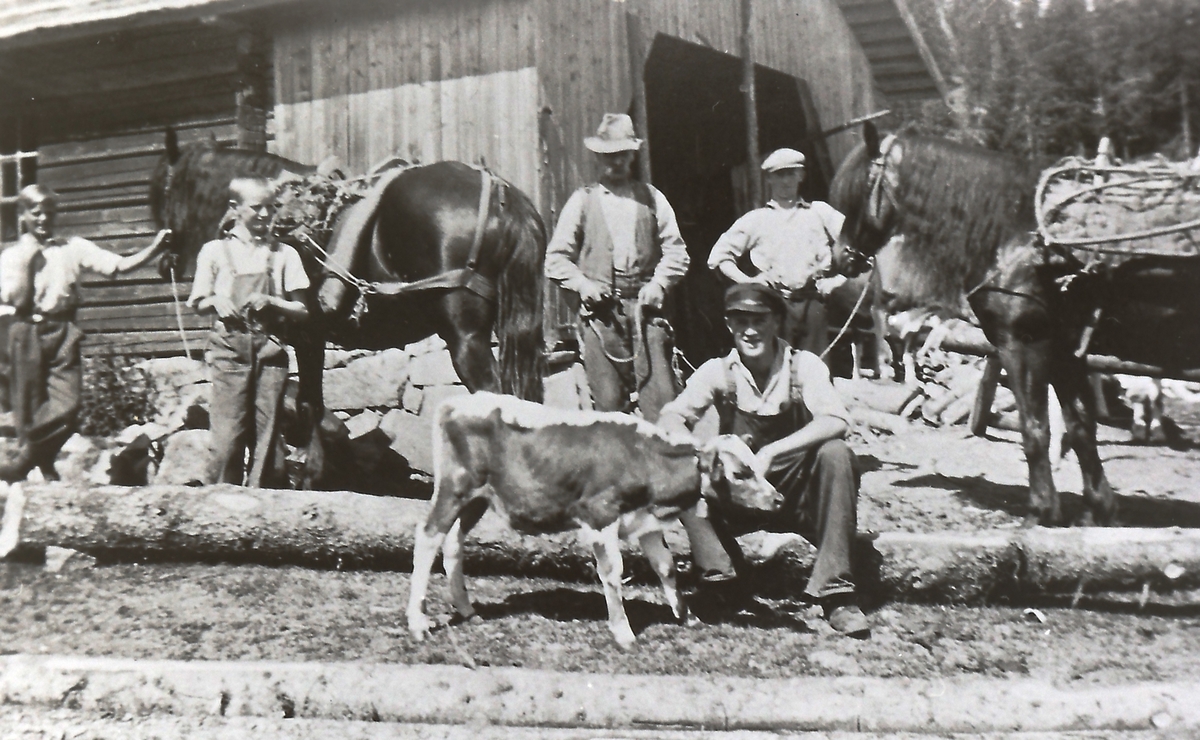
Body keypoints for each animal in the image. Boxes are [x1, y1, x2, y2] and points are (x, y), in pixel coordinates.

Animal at [150, 130, 549, 486]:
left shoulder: (305, 334)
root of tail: (498, 192)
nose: (165, 261)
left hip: (465, 338)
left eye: (163, 192)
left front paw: (306, 475)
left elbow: (305, 402)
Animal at [405, 393, 777, 647]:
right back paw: (418, 622)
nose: (778, 498)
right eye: (740, 473)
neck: (642, 457)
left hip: (478, 498)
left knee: (453, 542)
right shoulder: (600, 516)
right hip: (454, 488)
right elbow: (612, 573)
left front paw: (687, 617)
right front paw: (623, 632)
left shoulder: (644, 522)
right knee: (428, 536)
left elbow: (667, 567)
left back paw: (466, 608)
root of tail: (457, 401)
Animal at [830, 122, 1200, 525]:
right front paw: (1098, 509)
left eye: (860, 188)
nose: (840, 257)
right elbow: (1081, 428)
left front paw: (1042, 510)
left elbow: (1035, 430)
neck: (1018, 236)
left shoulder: (1024, 346)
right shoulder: (1065, 354)